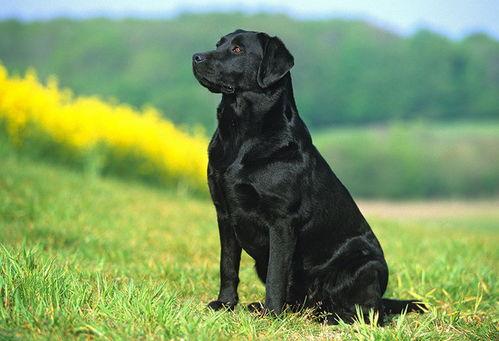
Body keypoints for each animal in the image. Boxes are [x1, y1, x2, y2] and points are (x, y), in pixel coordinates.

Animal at [193, 29, 424, 324]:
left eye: (237, 50)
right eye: (218, 44)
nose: (195, 57)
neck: (243, 134)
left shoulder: (281, 221)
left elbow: (276, 276)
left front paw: (271, 315)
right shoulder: (224, 212)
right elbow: (228, 265)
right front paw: (225, 304)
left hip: (363, 265)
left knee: (370, 312)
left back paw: (330, 317)